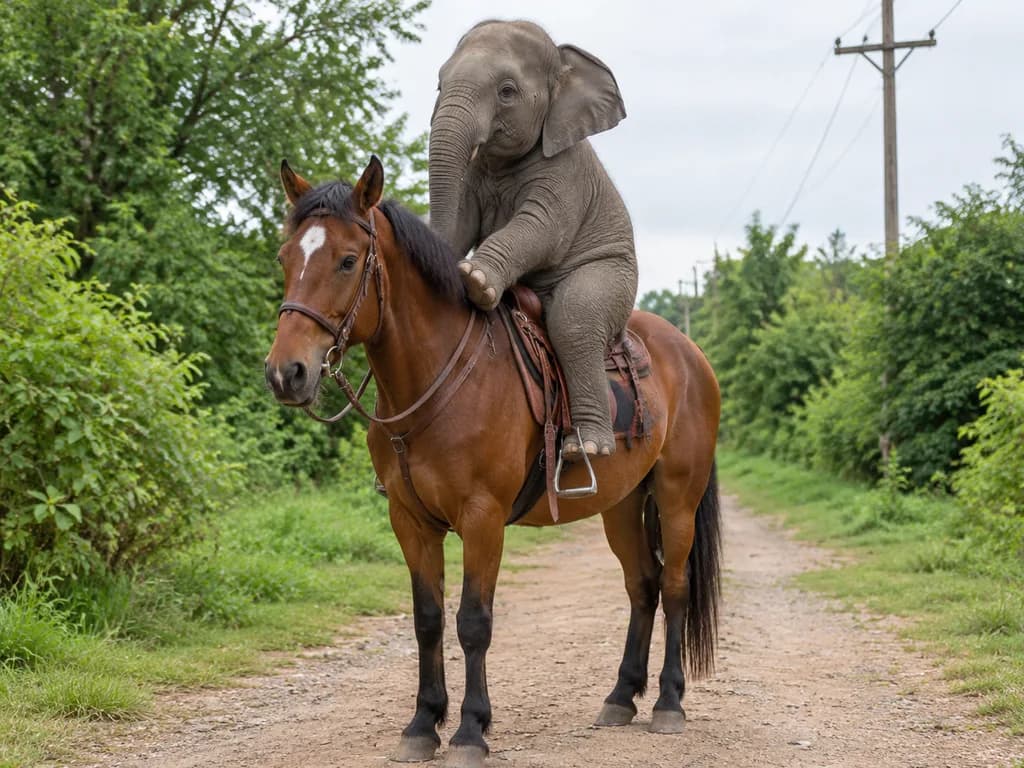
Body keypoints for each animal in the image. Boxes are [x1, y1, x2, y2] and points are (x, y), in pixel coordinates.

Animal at [265, 156, 722, 768]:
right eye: (286, 258)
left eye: (346, 260)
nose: (286, 373)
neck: (438, 381)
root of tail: (691, 354)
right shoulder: (410, 522)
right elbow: (428, 620)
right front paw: (422, 724)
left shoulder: (483, 520)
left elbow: (473, 623)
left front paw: (468, 731)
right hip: (622, 507)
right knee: (642, 586)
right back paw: (621, 696)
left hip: (676, 498)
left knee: (672, 586)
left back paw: (669, 703)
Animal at [429, 19, 638, 459]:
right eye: (439, 84)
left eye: (507, 91)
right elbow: (461, 221)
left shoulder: (565, 172)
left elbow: (541, 228)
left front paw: (476, 281)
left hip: (617, 279)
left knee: (575, 320)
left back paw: (586, 448)